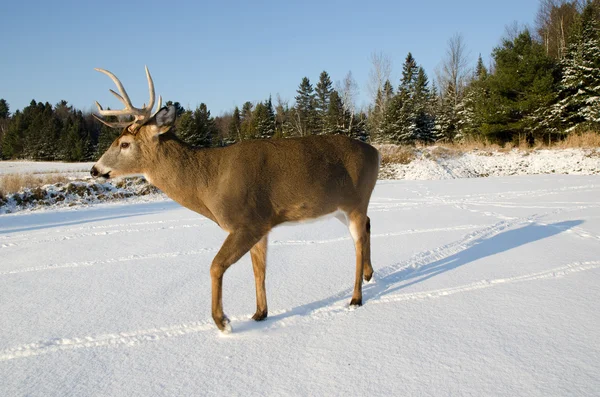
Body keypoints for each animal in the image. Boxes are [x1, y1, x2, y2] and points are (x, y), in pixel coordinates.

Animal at [90, 65, 380, 332]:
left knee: (357, 239)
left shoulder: (247, 222)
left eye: (125, 143)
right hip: (339, 208)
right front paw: (260, 314)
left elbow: (215, 266)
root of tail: (376, 152)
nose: (94, 169)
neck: (208, 182)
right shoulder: (262, 225)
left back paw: (355, 298)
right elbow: (258, 270)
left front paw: (222, 321)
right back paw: (369, 275)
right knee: (367, 224)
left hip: (356, 200)